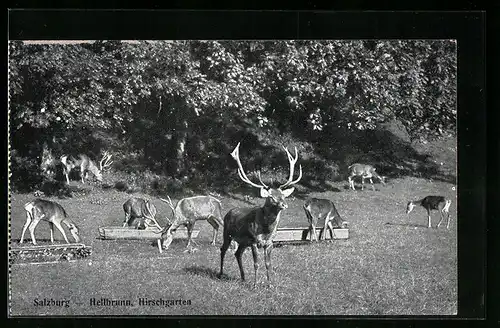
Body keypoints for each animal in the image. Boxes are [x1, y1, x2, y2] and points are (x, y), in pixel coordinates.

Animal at [218, 142, 302, 288]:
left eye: (283, 195)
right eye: (271, 197)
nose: (284, 205)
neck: (266, 230)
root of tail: (228, 212)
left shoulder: (269, 243)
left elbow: (268, 264)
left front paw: (270, 285)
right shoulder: (254, 242)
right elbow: (256, 264)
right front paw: (256, 285)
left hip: (243, 242)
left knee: (237, 253)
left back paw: (243, 277)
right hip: (227, 233)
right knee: (223, 249)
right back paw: (221, 273)